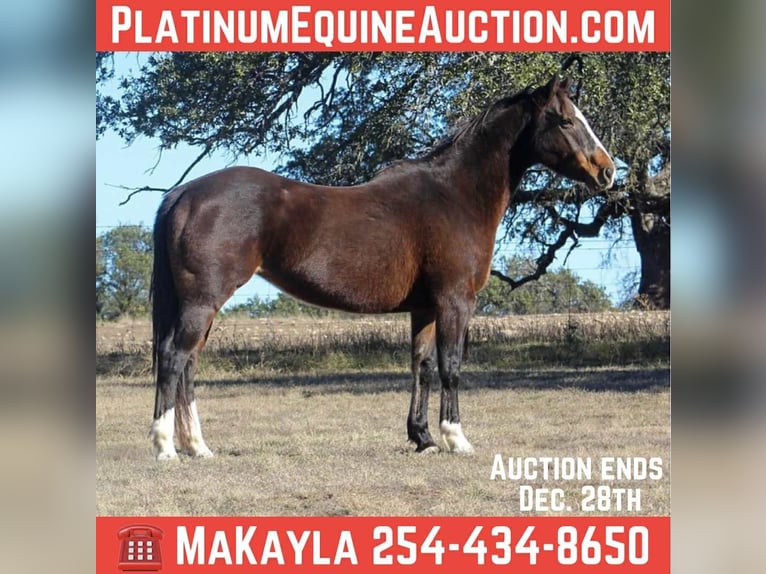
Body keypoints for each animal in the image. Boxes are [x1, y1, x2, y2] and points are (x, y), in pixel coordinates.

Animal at [149, 75, 615, 460]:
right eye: (565, 121)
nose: (607, 171)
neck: (454, 195)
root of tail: (184, 193)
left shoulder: (425, 307)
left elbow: (422, 367)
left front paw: (423, 437)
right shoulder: (455, 301)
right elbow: (451, 366)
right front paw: (456, 438)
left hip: (202, 306)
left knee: (189, 364)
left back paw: (198, 447)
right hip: (203, 301)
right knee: (174, 357)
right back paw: (166, 447)